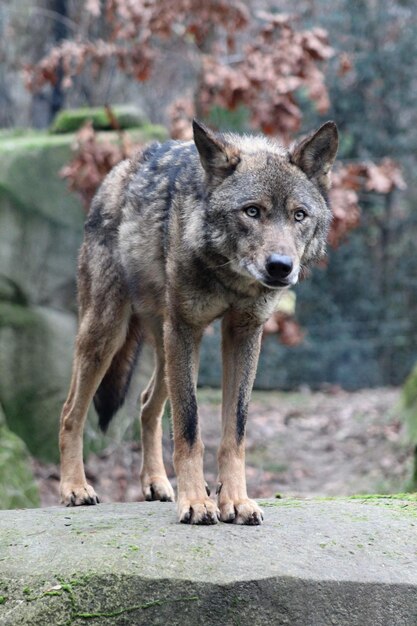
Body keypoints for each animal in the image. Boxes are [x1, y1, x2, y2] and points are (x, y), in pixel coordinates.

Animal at [59, 118, 338, 520]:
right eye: (252, 211)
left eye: (299, 215)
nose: (281, 267)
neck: (230, 277)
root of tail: (121, 168)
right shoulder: (186, 328)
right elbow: (189, 427)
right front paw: (194, 501)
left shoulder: (243, 332)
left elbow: (234, 431)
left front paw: (234, 500)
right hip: (109, 336)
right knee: (71, 414)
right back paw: (75, 488)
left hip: (169, 347)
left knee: (146, 404)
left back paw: (156, 483)